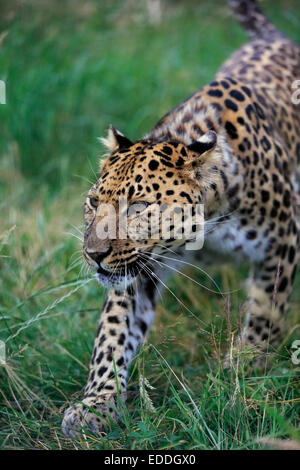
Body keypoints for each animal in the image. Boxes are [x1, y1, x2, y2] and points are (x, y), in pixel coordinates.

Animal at [61, 0, 300, 436]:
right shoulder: (139, 268)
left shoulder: (284, 237)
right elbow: (112, 334)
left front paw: (247, 369)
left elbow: (266, 310)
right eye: (93, 201)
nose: (93, 255)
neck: (210, 226)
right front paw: (97, 402)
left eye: (138, 207)